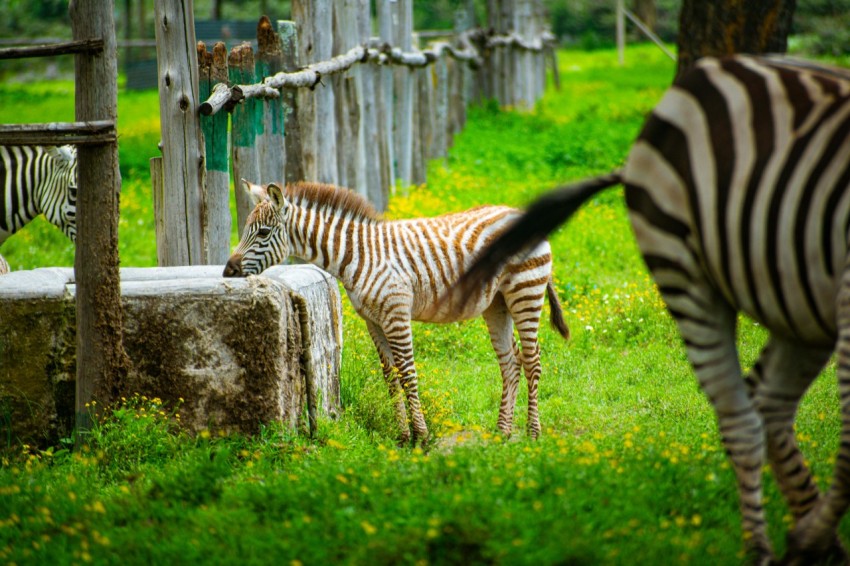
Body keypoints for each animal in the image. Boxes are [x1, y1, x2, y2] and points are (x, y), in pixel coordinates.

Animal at [223, 179, 570, 445]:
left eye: (263, 233)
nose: (228, 271)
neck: (358, 256)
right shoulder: (373, 321)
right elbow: (390, 378)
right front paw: (403, 437)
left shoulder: (396, 313)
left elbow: (408, 373)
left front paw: (422, 437)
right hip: (497, 302)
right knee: (510, 362)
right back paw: (502, 433)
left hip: (525, 291)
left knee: (532, 360)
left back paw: (532, 433)